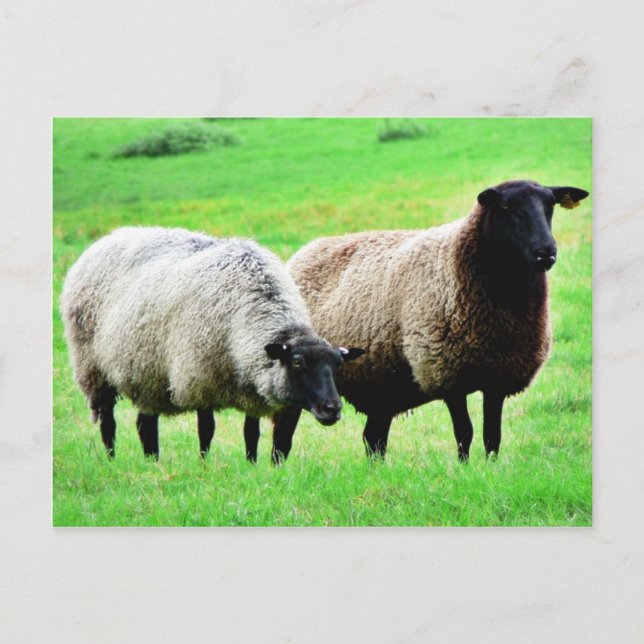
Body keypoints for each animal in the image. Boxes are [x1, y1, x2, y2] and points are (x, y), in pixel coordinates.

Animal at [61, 226, 365, 463]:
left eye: (338, 365)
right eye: (297, 362)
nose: (332, 409)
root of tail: (106, 239)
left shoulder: (249, 386)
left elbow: (250, 432)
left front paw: (252, 465)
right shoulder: (200, 378)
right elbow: (206, 429)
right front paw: (204, 464)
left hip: (147, 371)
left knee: (145, 424)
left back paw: (152, 461)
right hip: (93, 368)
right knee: (108, 423)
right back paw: (112, 460)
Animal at [274, 180, 589, 460]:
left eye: (551, 205)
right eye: (505, 206)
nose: (546, 251)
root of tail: (305, 252)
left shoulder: (497, 377)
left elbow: (492, 435)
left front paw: (490, 469)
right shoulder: (447, 373)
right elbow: (465, 432)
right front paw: (464, 471)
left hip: (381, 385)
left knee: (373, 440)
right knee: (282, 439)